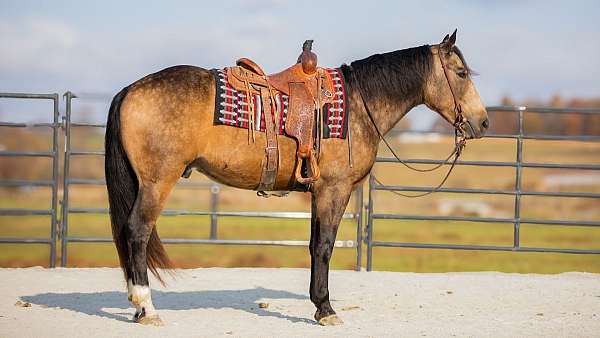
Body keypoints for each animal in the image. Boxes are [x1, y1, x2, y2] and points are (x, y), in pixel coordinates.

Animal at [103, 30, 488, 326]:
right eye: (461, 73)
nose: (482, 122)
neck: (360, 104)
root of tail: (130, 90)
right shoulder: (334, 191)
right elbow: (324, 247)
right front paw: (326, 309)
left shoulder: (319, 193)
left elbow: (314, 246)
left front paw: (319, 306)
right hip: (157, 183)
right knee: (137, 232)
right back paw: (146, 306)